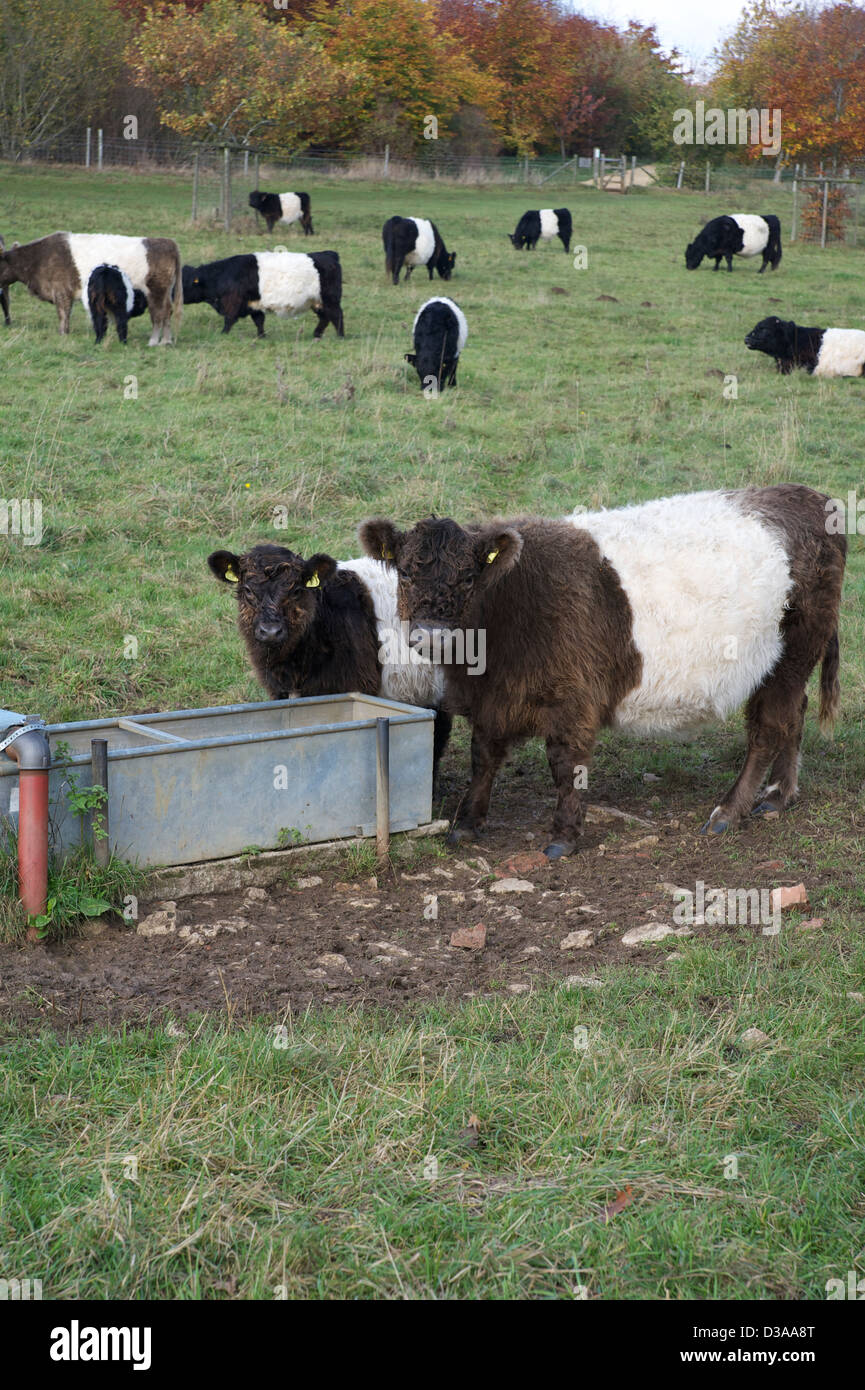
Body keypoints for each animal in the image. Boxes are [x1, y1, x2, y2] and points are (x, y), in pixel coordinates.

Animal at [0, 232, 182, 341]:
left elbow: (63, 314)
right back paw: (165, 341)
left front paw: (63, 334)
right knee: (167, 311)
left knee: (159, 313)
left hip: (156, 290)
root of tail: (168, 242)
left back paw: (155, 341)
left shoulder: (61, 292)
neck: (38, 258)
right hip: (165, 292)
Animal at [182, 250, 343, 338]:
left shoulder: (233, 301)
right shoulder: (254, 304)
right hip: (317, 302)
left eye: (183, 283)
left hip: (330, 299)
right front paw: (262, 336)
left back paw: (340, 336)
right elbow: (259, 321)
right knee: (325, 317)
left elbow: (229, 319)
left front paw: (223, 334)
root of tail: (329, 254)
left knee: (336, 315)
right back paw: (317, 334)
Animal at [360, 485, 845, 859]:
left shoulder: (572, 697)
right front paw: (466, 823)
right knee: (793, 715)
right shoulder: (493, 700)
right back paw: (779, 796)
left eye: (467, 579)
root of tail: (810, 496)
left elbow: (565, 764)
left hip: (791, 654)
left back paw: (729, 811)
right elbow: (484, 757)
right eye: (405, 574)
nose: (431, 634)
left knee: (768, 728)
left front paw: (563, 836)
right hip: (786, 666)